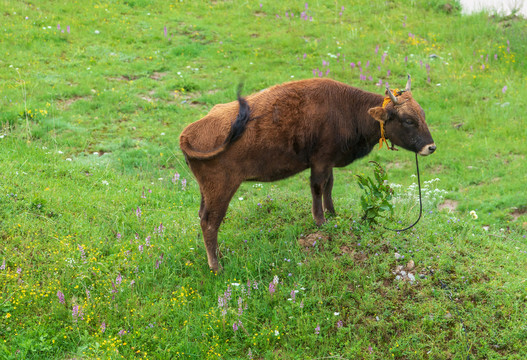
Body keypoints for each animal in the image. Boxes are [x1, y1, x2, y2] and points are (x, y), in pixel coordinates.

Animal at [182, 77, 438, 272]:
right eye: (408, 120)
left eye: (423, 114)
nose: (431, 147)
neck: (348, 108)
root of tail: (188, 132)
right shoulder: (320, 162)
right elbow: (317, 188)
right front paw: (320, 220)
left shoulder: (329, 163)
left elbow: (329, 187)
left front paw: (333, 215)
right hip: (222, 189)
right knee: (210, 222)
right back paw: (217, 267)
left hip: (207, 191)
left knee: (203, 216)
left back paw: (220, 256)